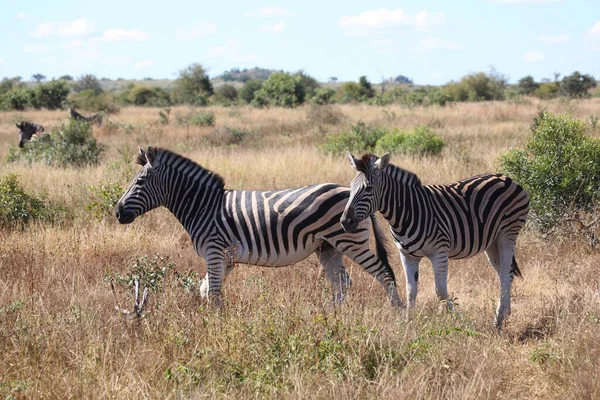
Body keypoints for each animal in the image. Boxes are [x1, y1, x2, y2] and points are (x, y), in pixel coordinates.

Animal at [114, 147, 400, 306]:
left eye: (139, 182)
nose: (117, 212)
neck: (203, 206)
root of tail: (352, 193)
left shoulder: (214, 251)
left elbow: (214, 294)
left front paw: (215, 330)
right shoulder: (225, 258)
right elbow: (206, 290)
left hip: (351, 241)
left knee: (384, 273)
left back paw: (397, 313)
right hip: (328, 247)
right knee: (342, 284)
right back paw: (333, 317)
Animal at [342, 153, 528, 328]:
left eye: (368, 188)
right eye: (350, 187)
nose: (345, 222)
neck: (407, 212)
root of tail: (505, 177)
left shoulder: (439, 252)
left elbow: (440, 291)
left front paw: (461, 321)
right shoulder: (407, 255)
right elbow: (411, 290)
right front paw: (409, 324)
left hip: (507, 233)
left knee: (505, 275)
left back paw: (498, 319)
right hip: (492, 241)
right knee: (506, 273)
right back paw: (503, 316)